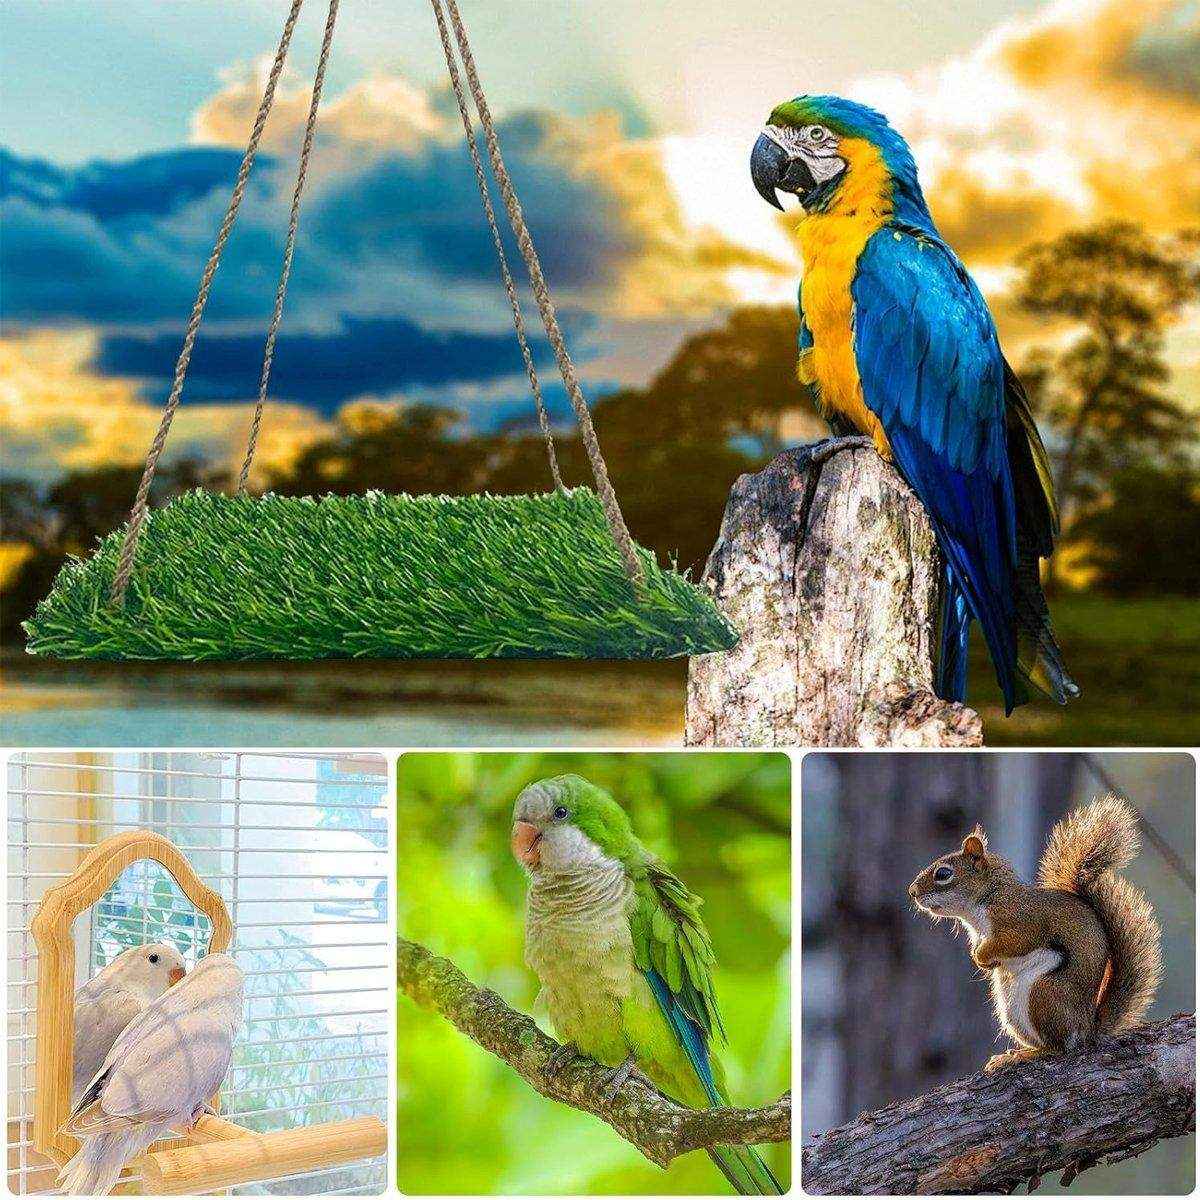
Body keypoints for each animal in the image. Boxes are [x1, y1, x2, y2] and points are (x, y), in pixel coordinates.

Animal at [909, 795, 1162, 1073]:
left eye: (943, 874)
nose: (912, 892)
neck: (986, 899)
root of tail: (1087, 1029)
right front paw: (979, 959)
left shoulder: (1022, 922)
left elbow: (1013, 942)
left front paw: (982, 957)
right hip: (1011, 1009)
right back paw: (1014, 1053)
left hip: (1044, 994)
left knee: (1059, 1047)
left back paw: (1026, 1055)